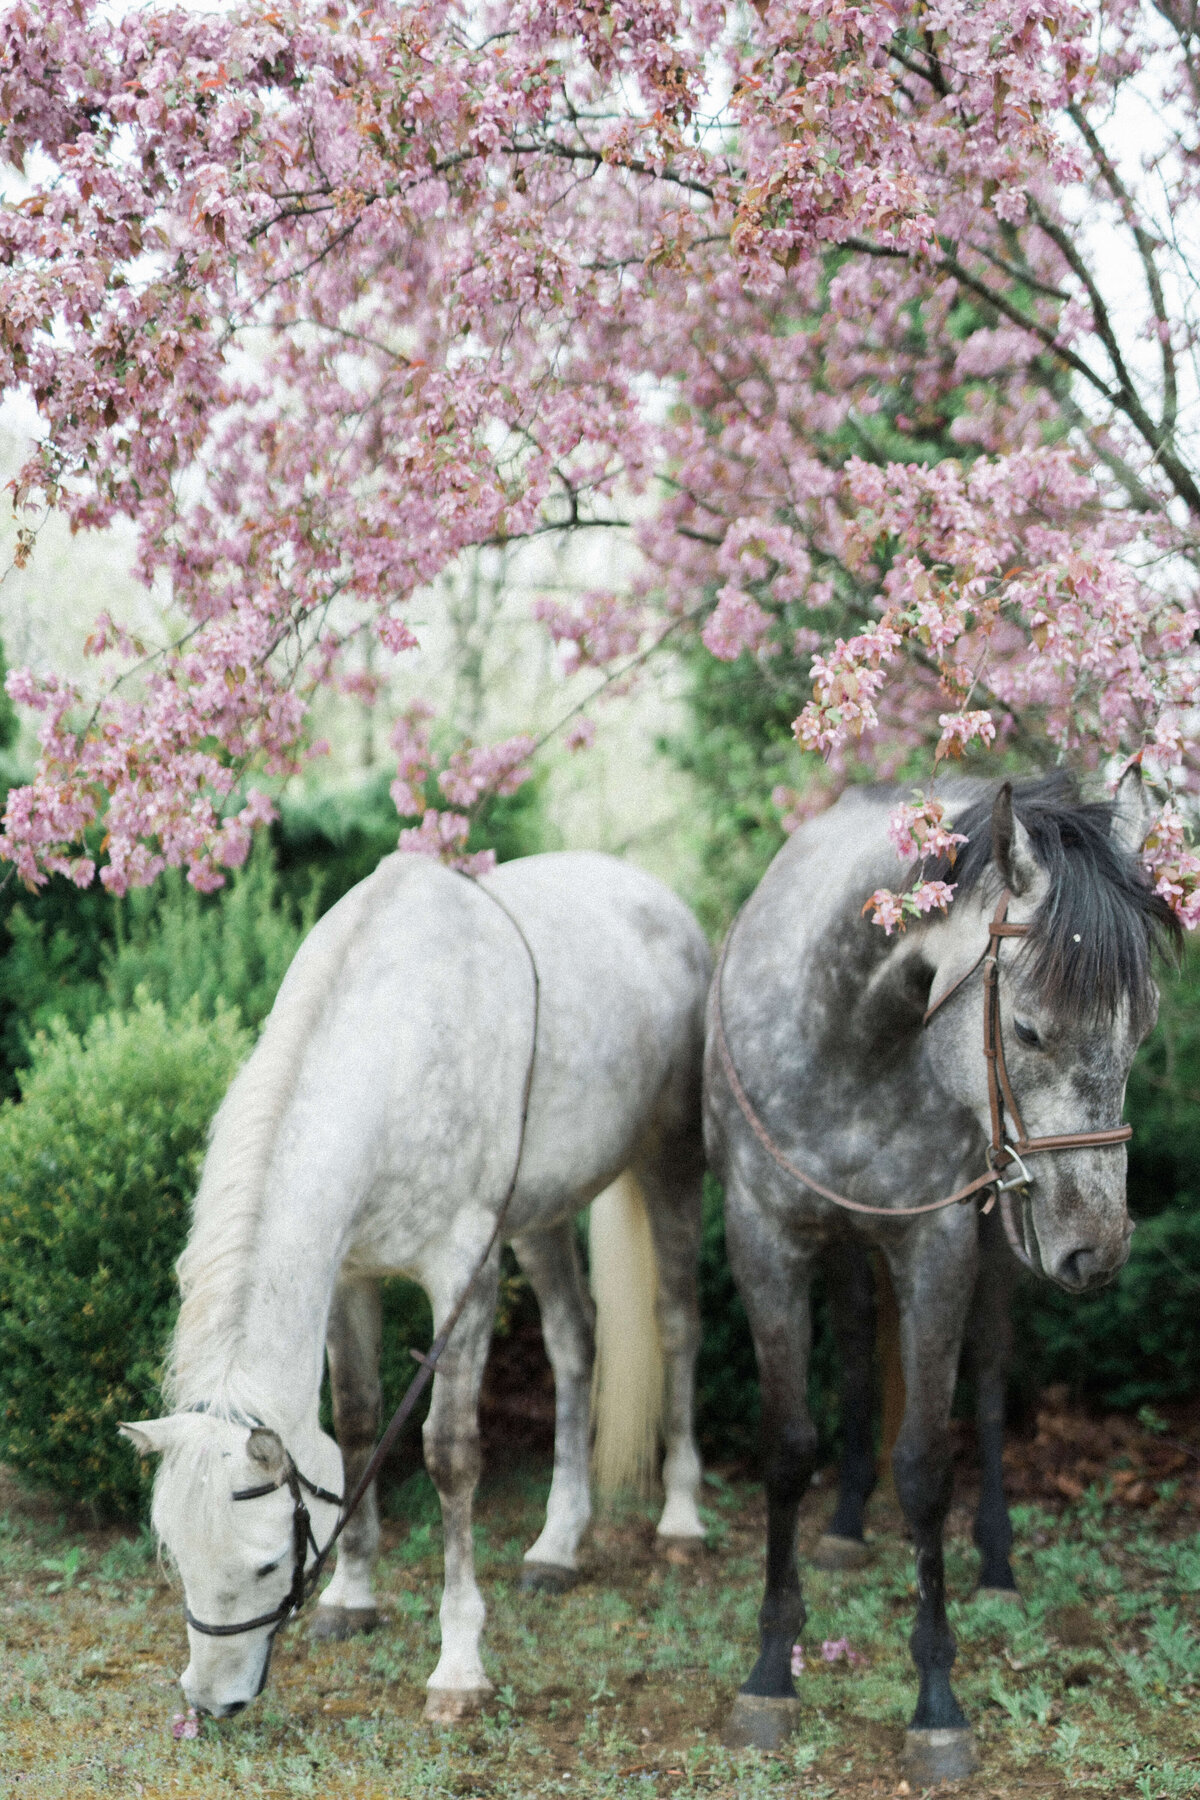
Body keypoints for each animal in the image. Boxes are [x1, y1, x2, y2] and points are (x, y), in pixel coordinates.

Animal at [116, 849, 708, 1720]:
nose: (211, 1701)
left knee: (676, 1322)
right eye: (177, 1555)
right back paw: (557, 1544)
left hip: (671, 1160)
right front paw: (351, 1599)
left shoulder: (463, 1273)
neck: (395, 1044)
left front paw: (458, 1665)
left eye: (265, 1565)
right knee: (574, 1340)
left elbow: (450, 1454)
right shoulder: (351, 1278)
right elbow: (360, 1425)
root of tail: (653, 891)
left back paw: (682, 1519)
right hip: (538, 1213)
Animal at [708, 766, 1180, 1778]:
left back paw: (996, 1565)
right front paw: (770, 1672)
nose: (1098, 1248)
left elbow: (927, 1461)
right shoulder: (762, 1235)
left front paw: (935, 1700)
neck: (850, 1037)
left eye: (1143, 1030)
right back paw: (847, 1526)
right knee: (854, 1348)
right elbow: (787, 1443)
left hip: (998, 1247)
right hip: (855, 1242)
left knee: (992, 1383)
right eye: (1029, 1031)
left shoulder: (939, 1244)